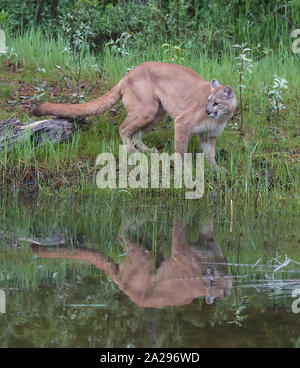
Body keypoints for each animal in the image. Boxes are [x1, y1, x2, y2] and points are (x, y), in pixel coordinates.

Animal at [33, 61, 237, 167]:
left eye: (216, 102)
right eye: (208, 101)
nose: (208, 111)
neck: (219, 119)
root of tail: (130, 73)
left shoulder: (209, 136)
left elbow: (210, 155)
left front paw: (216, 170)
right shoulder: (182, 122)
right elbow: (180, 150)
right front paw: (182, 169)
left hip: (156, 113)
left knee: (137, 133)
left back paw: (147, 151)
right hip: (146, 110)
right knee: (123, 128)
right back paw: (131, 151)